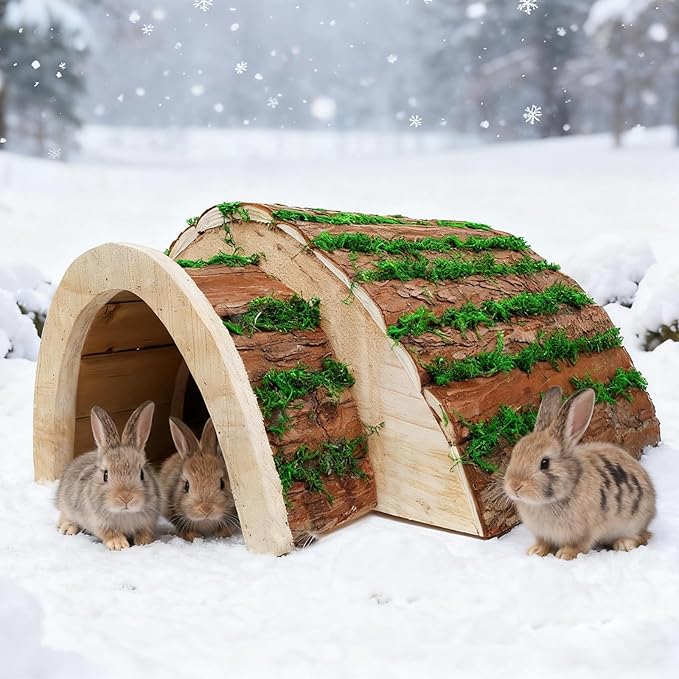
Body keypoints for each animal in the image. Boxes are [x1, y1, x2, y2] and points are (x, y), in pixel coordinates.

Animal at [56, 401, 162, 550]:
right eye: (106, 474)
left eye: (141, 474)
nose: (126, 498)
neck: (124, 512)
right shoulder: (99, 522)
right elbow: (111, 533)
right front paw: (119, 545)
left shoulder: (148, 522)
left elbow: (144, 532)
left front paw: (144, 542)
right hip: (66, 505)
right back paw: (67, 529)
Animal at [504, 386, 656, 560]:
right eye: (515, 452)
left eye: (545, 463)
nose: (514, 486)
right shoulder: (543, 534)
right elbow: (543, 543)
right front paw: (535, 551)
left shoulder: (585, 533)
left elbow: (578, 546)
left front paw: (564, 554)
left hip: (634, 522)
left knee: (644, 536)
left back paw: (624, 544)